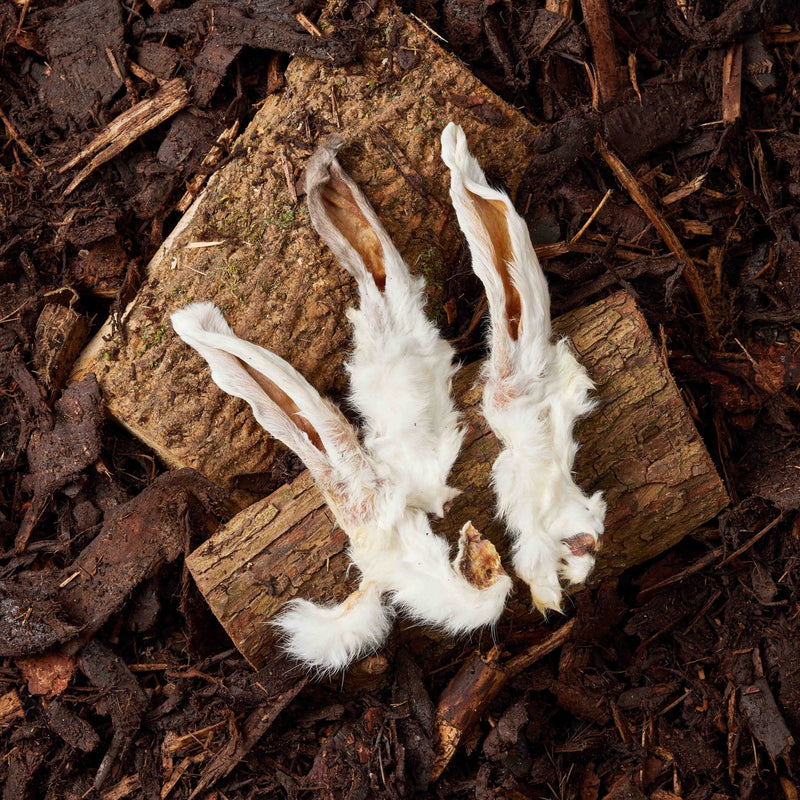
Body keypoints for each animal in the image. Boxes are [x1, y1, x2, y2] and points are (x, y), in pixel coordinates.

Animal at [440, 122, 606, 614]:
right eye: (583, 545)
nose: (586, 567)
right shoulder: (532, 520)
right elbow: (533, 560)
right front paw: (548, 596)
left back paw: (454, 146)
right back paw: (453, 145)